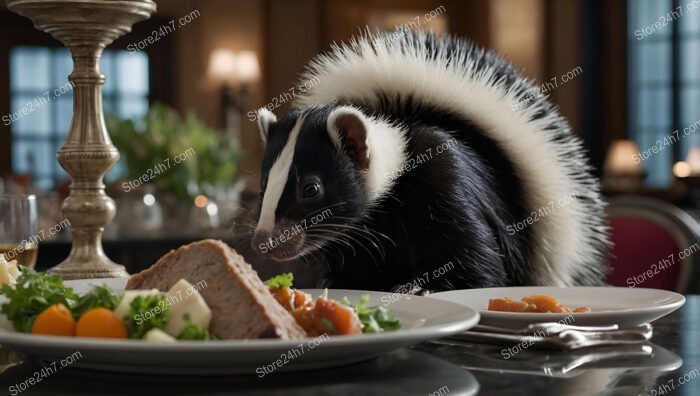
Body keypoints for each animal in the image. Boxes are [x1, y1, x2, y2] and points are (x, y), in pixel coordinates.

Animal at [234, 31, 608, 292]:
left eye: (311, 188)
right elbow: (355, 271)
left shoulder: (445, 183)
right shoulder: (357, 238)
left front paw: (419, 288)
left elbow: (478, 264)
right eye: (264, 186)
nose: (264, 241)